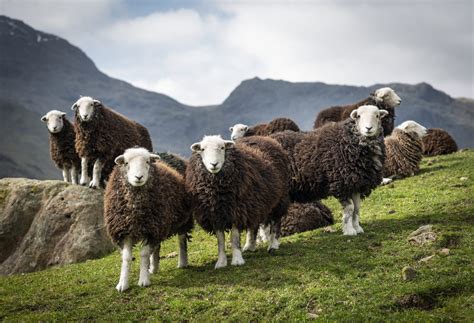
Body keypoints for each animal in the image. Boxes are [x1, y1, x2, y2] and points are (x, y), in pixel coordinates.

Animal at [104, 148, 193, 292]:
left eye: (147, 162)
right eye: (126, 163)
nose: (138, 177)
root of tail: (169, 154)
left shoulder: (150, 230)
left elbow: (144, 254)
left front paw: (143, 280)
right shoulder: (125, 231)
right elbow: (127, 257)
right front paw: (122, 284)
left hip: (182, 218)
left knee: (181, 239)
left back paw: (182, 262)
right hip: (158, 224)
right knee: (157, 246)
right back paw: (154, 268)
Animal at [185, 135, 288, 270]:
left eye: (222, 148)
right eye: (202, 149)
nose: (214, 164)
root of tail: (264, 137)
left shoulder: (236, 211)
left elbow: (234, 239)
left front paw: (237, 260)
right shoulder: (216, 215)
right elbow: (220, 241)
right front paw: (221, 262)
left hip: (278, 200)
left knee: (276, 221)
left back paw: (273, 244)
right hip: (253, 204)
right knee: (253, 226)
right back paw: (250, 246)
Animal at [272, 105, 386, 235]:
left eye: (377, 115)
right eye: (358, 116)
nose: (368, 128)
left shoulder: (356, 183)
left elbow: (356, 208)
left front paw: (357, 228)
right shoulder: (341, 184)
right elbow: (350, 209)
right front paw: (349, 231)